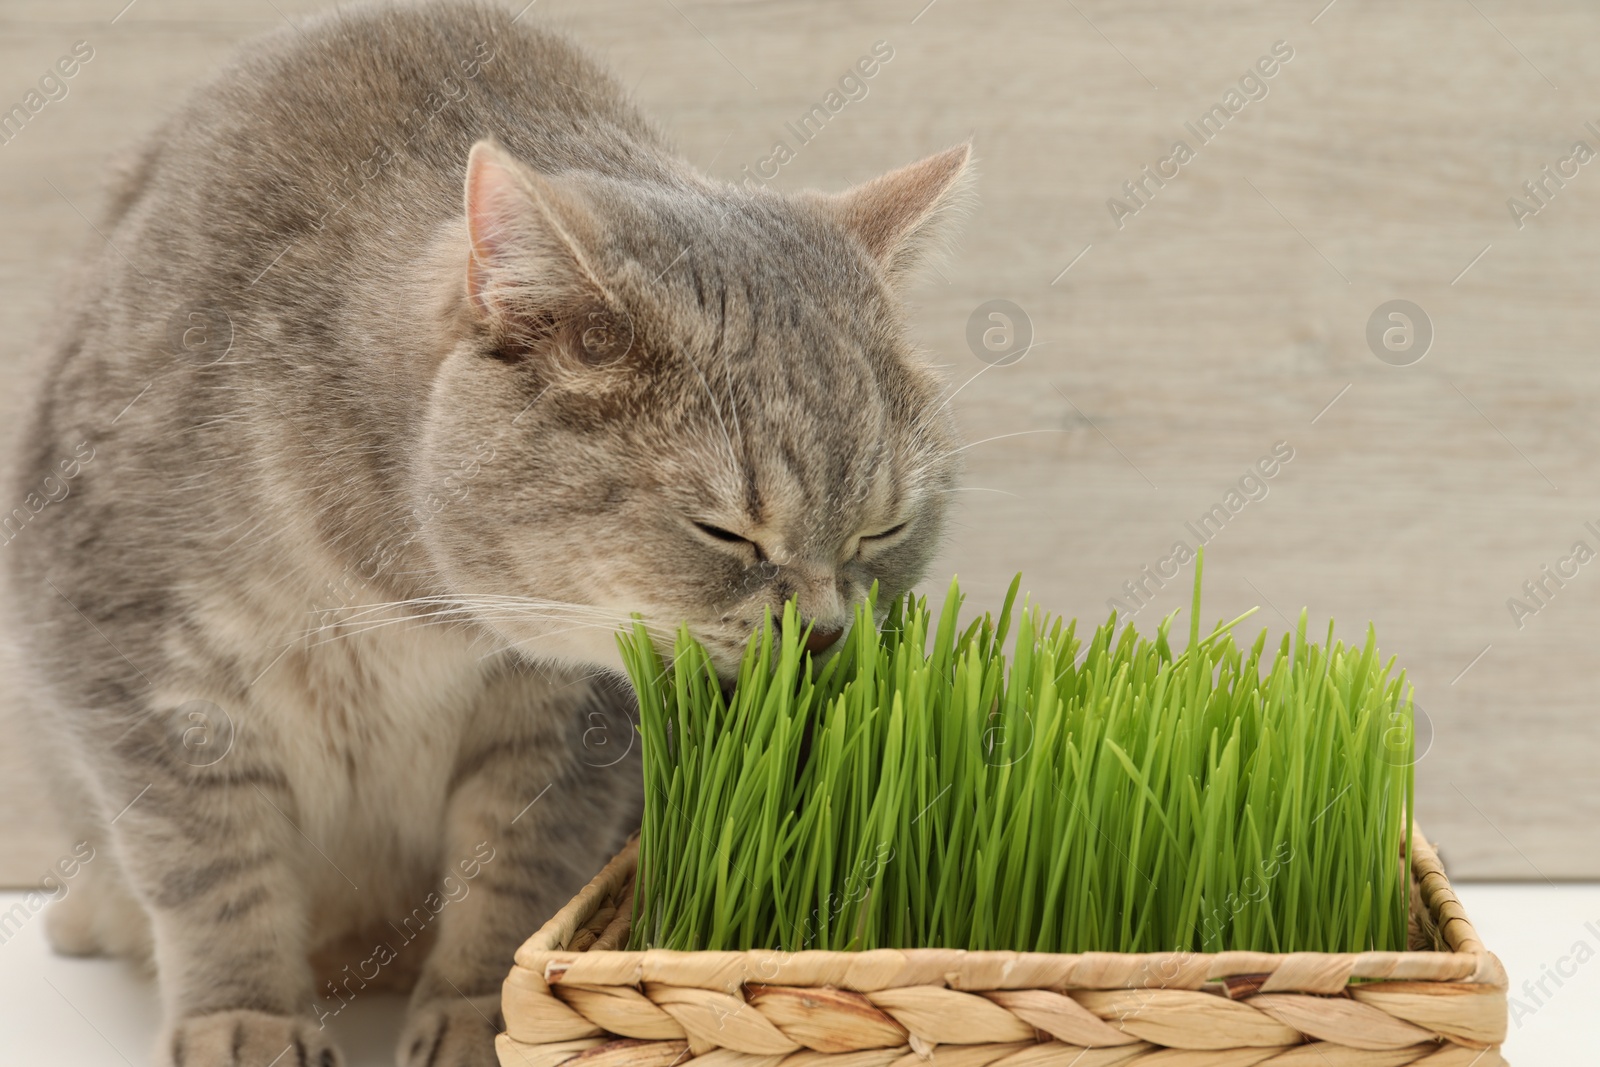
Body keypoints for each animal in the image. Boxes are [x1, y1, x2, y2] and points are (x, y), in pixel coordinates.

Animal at [12, 4, 966, 1062]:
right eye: (726, 533)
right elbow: (214, 869)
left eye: (881, 531)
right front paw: (244, 1017)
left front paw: (482, 1010)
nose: (829, 631)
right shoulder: (135, 657)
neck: (409, 602)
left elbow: (516, 866)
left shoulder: (576, 719)